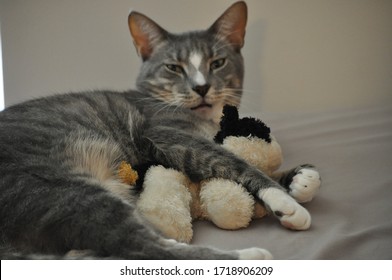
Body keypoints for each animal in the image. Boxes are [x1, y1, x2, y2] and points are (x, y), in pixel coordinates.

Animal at [0, 1, 318, 260]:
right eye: (173, 67)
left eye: (217, 62)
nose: (201, 87)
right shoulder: (168, 133)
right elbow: (232, 160)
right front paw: (285, 199)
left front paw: (301, 178)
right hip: (59, 189)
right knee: (139, 247)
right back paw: (248, 257)